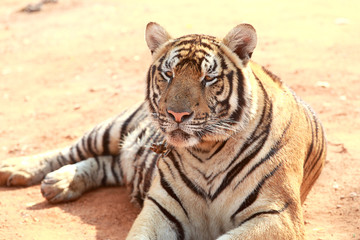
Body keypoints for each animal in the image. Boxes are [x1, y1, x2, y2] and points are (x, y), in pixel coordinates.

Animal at [0, 21, 326, 239]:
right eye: (168, 74)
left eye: (208, 78)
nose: (177, 114)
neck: (206, 152)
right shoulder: (162, 209)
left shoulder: (277, 215)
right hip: (113, 129)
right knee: (71, 150)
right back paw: (19, 170)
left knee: (105, 163)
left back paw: (60, 184)